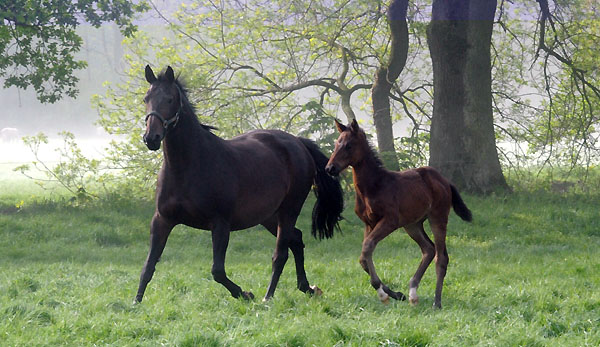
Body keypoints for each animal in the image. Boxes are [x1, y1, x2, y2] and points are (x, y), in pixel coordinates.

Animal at [326, 120, 472, 310]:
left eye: (349, 145)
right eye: (337, 143)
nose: (330, 168)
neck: (373, 186)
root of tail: (445, 181)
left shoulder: (390, 221)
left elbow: (368, 246)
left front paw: (382, 294)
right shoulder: (369, 223)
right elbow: (363, 257)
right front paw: (396, 294)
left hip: (437, 217)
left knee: (441, 257)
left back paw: (436, 302)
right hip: (412, 224)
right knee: (428, 249)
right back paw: (412, 293)